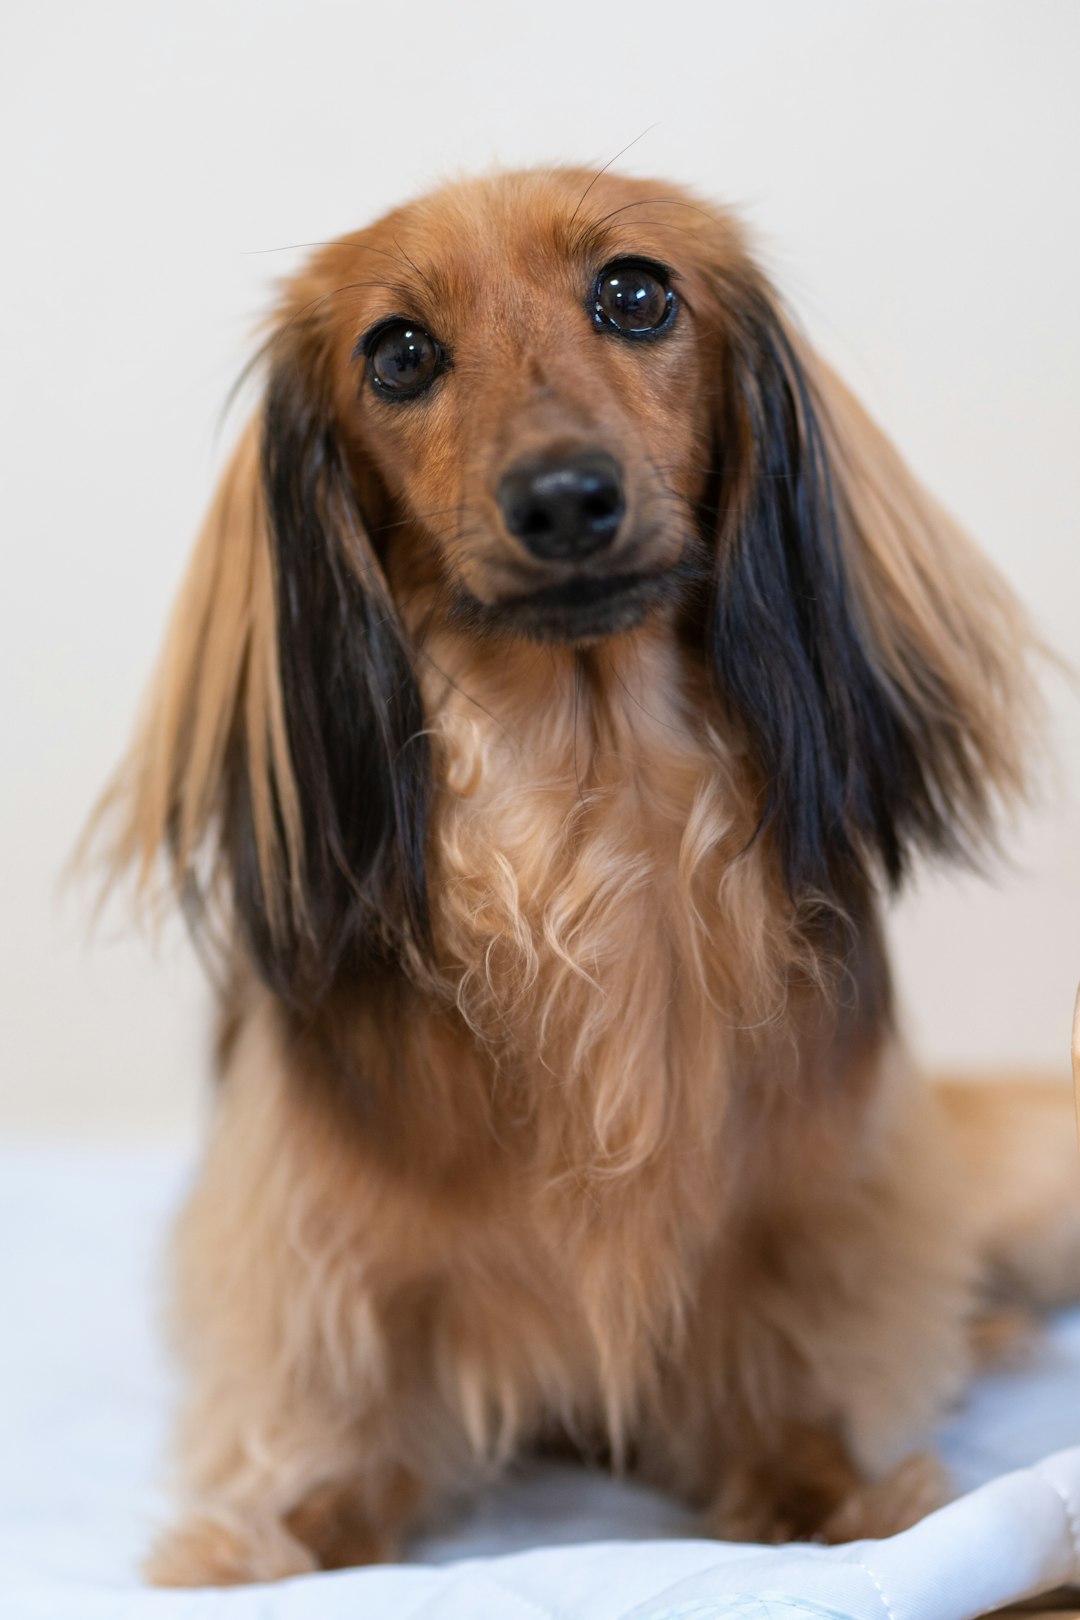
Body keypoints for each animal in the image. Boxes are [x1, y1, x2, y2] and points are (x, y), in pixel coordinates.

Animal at [95, 164, 1075, 1581]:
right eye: (398, 353)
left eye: (636, 292)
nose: (563, 499)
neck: (591, 811)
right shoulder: (318, 1253)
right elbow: (333, 1448)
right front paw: (278, 1544)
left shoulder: (820, 1210)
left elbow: (804, 1376)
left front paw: (829, 1501)